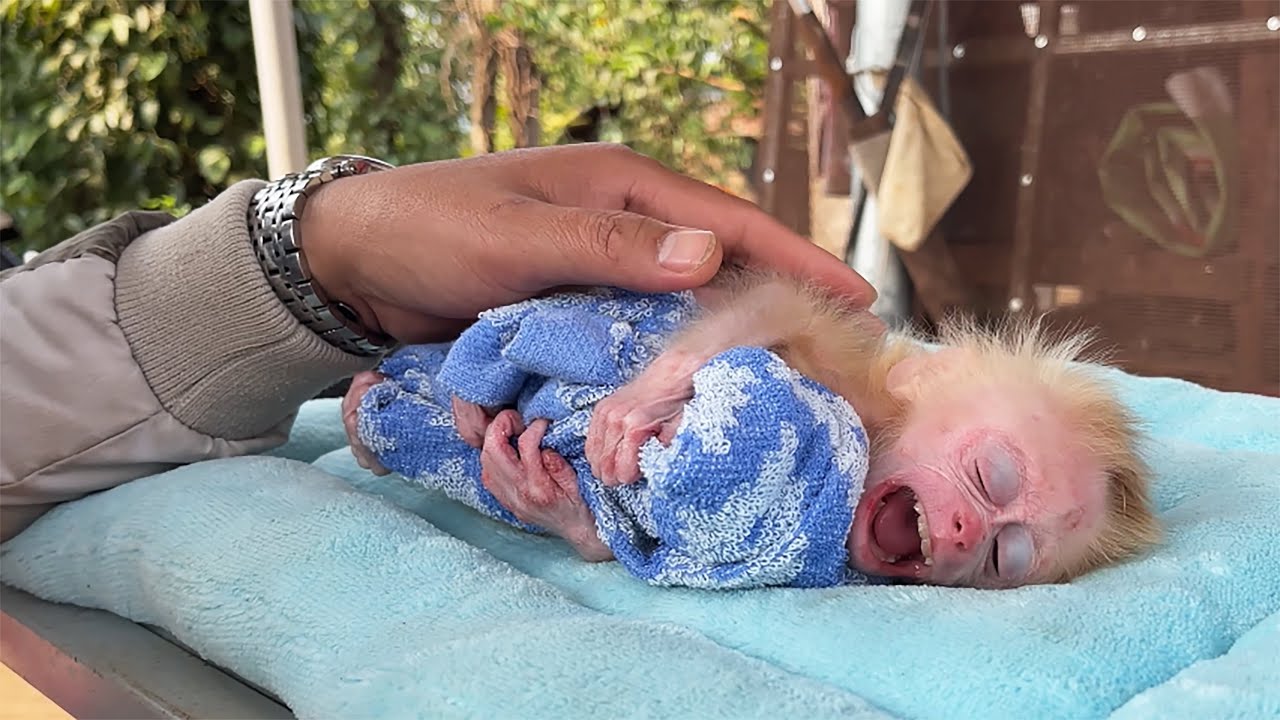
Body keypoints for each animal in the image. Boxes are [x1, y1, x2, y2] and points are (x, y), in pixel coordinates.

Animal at [344, 268, 1161, 590]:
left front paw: (553, 504)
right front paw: (645, 395)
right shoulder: (843, 360)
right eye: (993, 476)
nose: (961, 533)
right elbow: (773, 304)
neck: (868, 423)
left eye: (1003, 555)